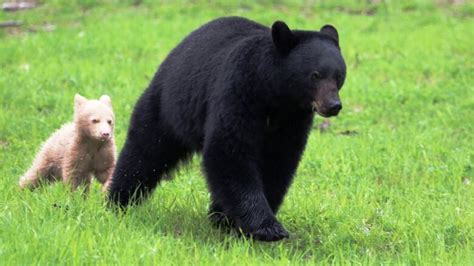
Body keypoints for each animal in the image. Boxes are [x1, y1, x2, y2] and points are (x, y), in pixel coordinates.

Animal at [109, 16, 346, 241]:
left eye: (339, 75)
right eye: (315, 75)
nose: (333, 106)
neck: (276, 97)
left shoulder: (293, 120)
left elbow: (278, 161)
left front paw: (237, 220)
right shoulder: (239, 91)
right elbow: (229, 150)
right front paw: (266, 227)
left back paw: (217, 215)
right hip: (169, 107)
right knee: (145, 151)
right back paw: (119, 200)